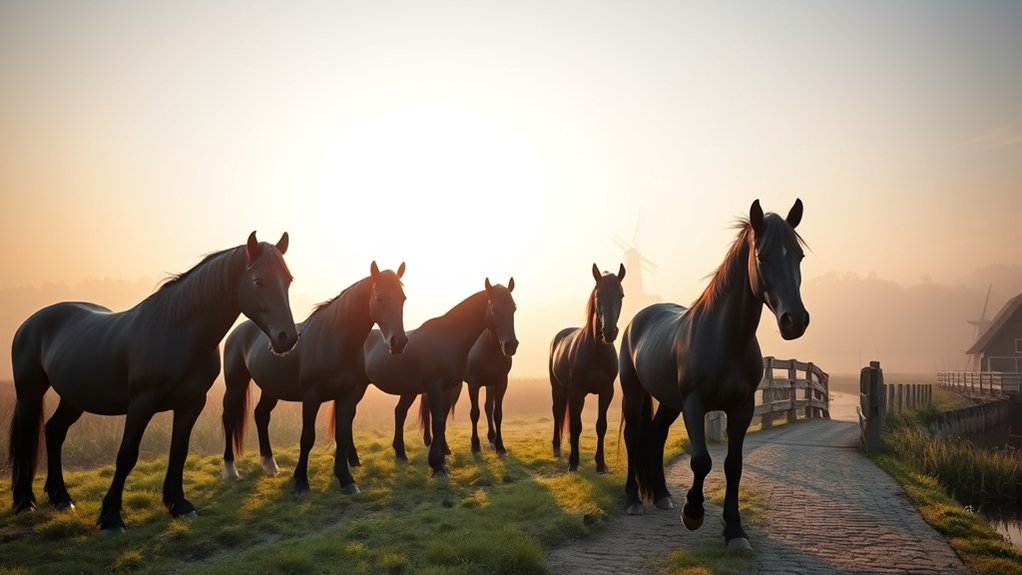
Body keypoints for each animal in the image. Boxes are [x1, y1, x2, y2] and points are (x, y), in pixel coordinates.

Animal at [8, 232, 298, 533]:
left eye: (288, 280)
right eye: (258, 281)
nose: (287, 337)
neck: (176, 332)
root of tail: (31, 322)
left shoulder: (191, 404)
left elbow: (178, 452)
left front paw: (179, 505)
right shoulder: (141, 405)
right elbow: (126, 456)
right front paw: (111, 518)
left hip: (74, 398)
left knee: (54, 432)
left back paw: (62, 498)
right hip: (30, 393)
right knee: (28, 438)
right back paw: (25, 502)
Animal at [221, 262, 408, 494]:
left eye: (403, 298)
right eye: (380, 297)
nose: (398, 342)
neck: (334, 340)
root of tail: (238, 331)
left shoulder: (346, 396)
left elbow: (342, 434)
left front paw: (346, 479)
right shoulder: (311, 396)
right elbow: (307, 437)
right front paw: (301, 481)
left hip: (271, 389)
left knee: (261, 415)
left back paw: (270, 465)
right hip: (235, 384)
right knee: (229, 418)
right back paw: (230, 470)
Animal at [366, 279, 518, 476]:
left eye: (514, 308)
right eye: (494, 309)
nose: (511, 345)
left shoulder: (493, 382)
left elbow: (490, 413)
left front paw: (499, 447)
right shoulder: (459, 385)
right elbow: (455, 417)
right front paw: (444, 462)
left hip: (412, 391)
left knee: (400, 412)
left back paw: (402, 453)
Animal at [549, 263, 626, 472]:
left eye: (621, 295)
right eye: (598, 295)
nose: (609, 332)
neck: (596, 352)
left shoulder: (607, 392)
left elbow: (601, 426)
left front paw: (601, 464)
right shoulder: (578, 393)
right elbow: (577, 426)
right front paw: (573, 463)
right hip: (558, 388)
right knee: (557, 412)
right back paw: (557, 449)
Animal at [619, 199, 808, 550]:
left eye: (799, 255)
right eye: (762, 256)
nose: (795, 320)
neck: (725, 340)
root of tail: (639, 318)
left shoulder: (742, 408)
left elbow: (733, 465)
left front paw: (734, 531)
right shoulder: (694, 405)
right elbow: (701, 461)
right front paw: (693, 513)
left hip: (669, 402)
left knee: (656, 434)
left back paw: (661, 495)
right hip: (634, 392)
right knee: (634, 436)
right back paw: (634, 500)